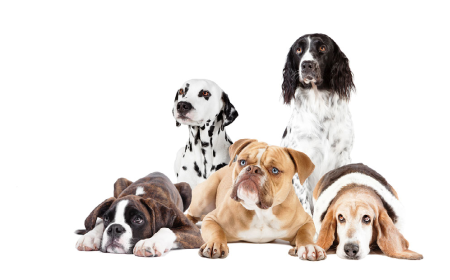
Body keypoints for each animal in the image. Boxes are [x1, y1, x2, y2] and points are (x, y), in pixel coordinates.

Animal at [186, 139, 326, 260]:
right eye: (242, 162)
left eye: (274, 170)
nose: (253, 169)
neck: (260, 212)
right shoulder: (211, 219)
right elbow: (216, 231)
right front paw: (215, 244)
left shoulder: (306, 222)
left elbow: (305, 234)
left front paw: (309, 246)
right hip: (203, 197)